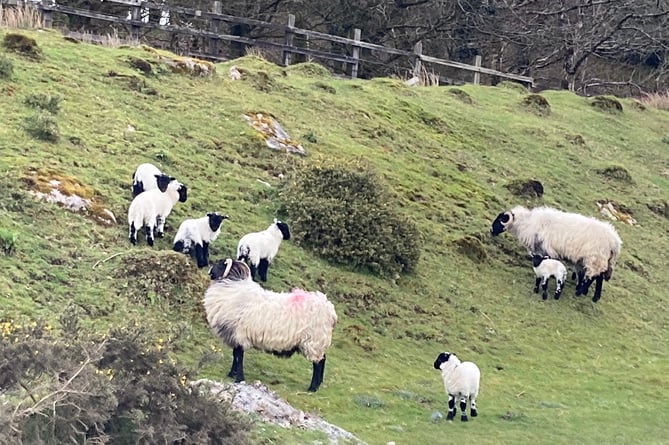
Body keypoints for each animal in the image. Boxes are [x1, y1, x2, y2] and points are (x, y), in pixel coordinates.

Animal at [204, 258, 336, 390]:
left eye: (220, 264)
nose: (209, 271)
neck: (231, 287)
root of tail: (329, 309)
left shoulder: (240, 335)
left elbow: (239, 357)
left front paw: (239, 378)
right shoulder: (235, 337)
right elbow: (235, 355)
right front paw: (232, 374)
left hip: (314, 341)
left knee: (318, 363)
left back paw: (312, 388)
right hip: (317, 342)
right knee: (323, 359)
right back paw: (319, 384)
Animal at [488, 206, 624, 302]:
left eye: (500, 219)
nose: (491, 231)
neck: (527, 223)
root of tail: (615, 241)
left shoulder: (548, 250)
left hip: (595, 258)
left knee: (593, 276)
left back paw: (580, 292)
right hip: (601, 259)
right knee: (599, 277)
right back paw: (594, 296)